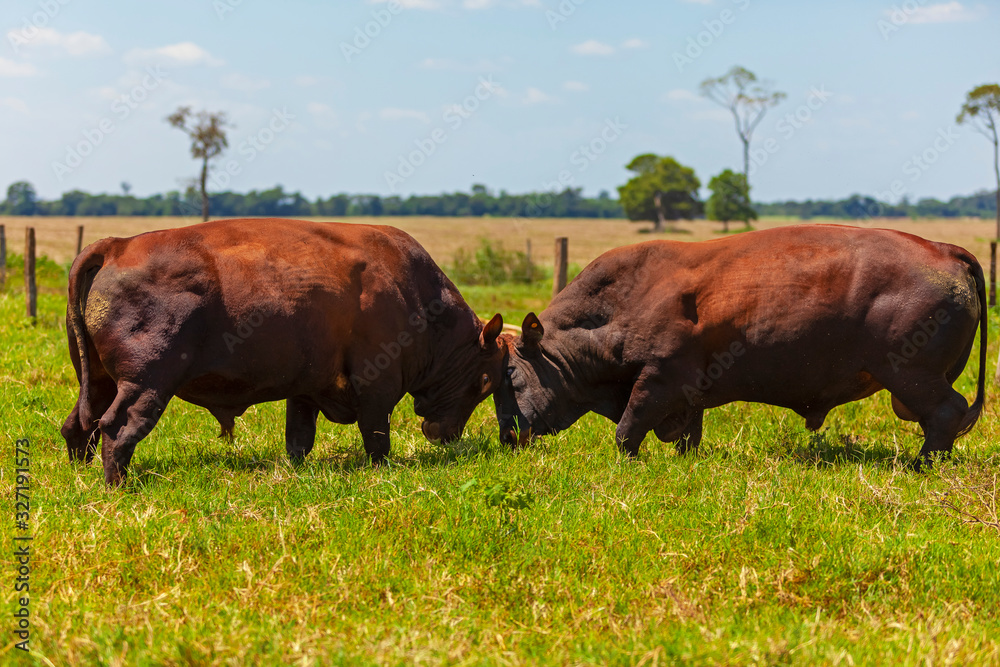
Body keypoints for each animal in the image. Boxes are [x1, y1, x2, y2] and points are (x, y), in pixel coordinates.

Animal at [60, 219, 508, 486]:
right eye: (485, 382)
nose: (446, 435)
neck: (415, 294)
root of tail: (117, 246)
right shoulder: (376, 388)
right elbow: (376, 435)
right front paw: (381, 469)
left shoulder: (305, 389)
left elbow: (299, 438)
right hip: (146, 385)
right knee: (117, 427)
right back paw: (119, 485)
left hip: (98, 381)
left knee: (78, 425)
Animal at [492, 224, 984, 464]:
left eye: (511, 375)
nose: (507, 437)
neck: (619, 303)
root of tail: (944, 249)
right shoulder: (687, 394)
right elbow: (688, 434)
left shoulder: (658, 379)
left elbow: (627, 430)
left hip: (910, 375)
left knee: (947, 412)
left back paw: (923, 465)